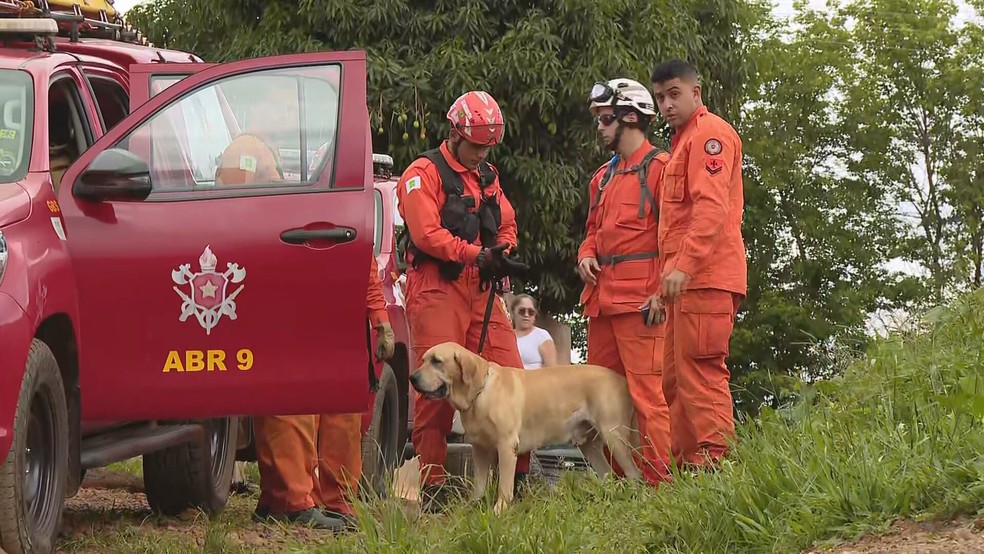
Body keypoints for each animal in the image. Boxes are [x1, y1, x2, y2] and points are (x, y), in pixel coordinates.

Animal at [412, 342, 640, 512]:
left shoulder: (506, 446)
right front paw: (473, 505)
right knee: (608, 474)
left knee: (634, 473)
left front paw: (500, 509)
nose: (412, 378)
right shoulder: (480, 449)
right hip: (589, 445)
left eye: (437, 361)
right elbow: (480, 483)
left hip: (614, 437)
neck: (481, 392)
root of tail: (622, 379)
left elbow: (504, 484)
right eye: (423, 360)